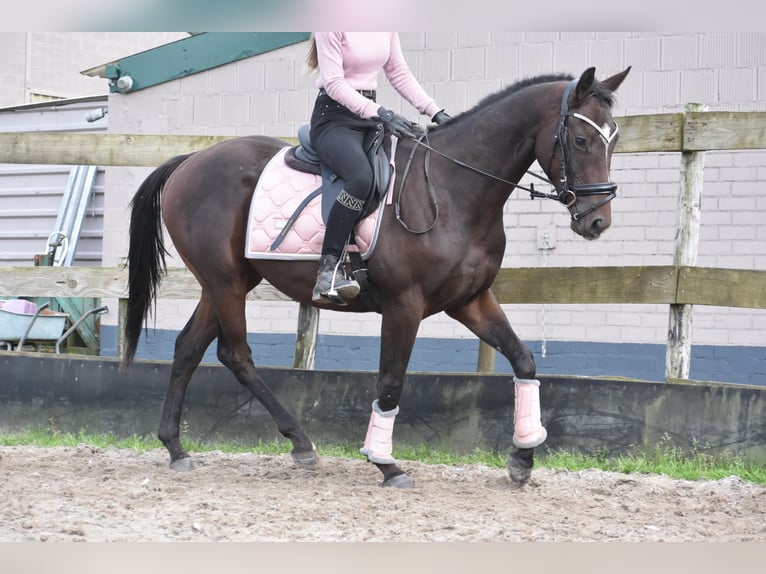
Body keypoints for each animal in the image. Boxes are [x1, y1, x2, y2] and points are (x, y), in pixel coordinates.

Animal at [123, 66, 632, 490]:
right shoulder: (404, 305)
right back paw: (300, 443)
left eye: (613, 139)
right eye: (581, 141)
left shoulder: (469, 300)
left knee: (188, 347)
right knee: (237, 354)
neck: (453, 189)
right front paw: (386, 463)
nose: (597, 221)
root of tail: (191, 161)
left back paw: (177, 447)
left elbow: (524, 360)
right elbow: (390, 381)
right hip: (225, 281)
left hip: (226, 282)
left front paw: (523, 457)